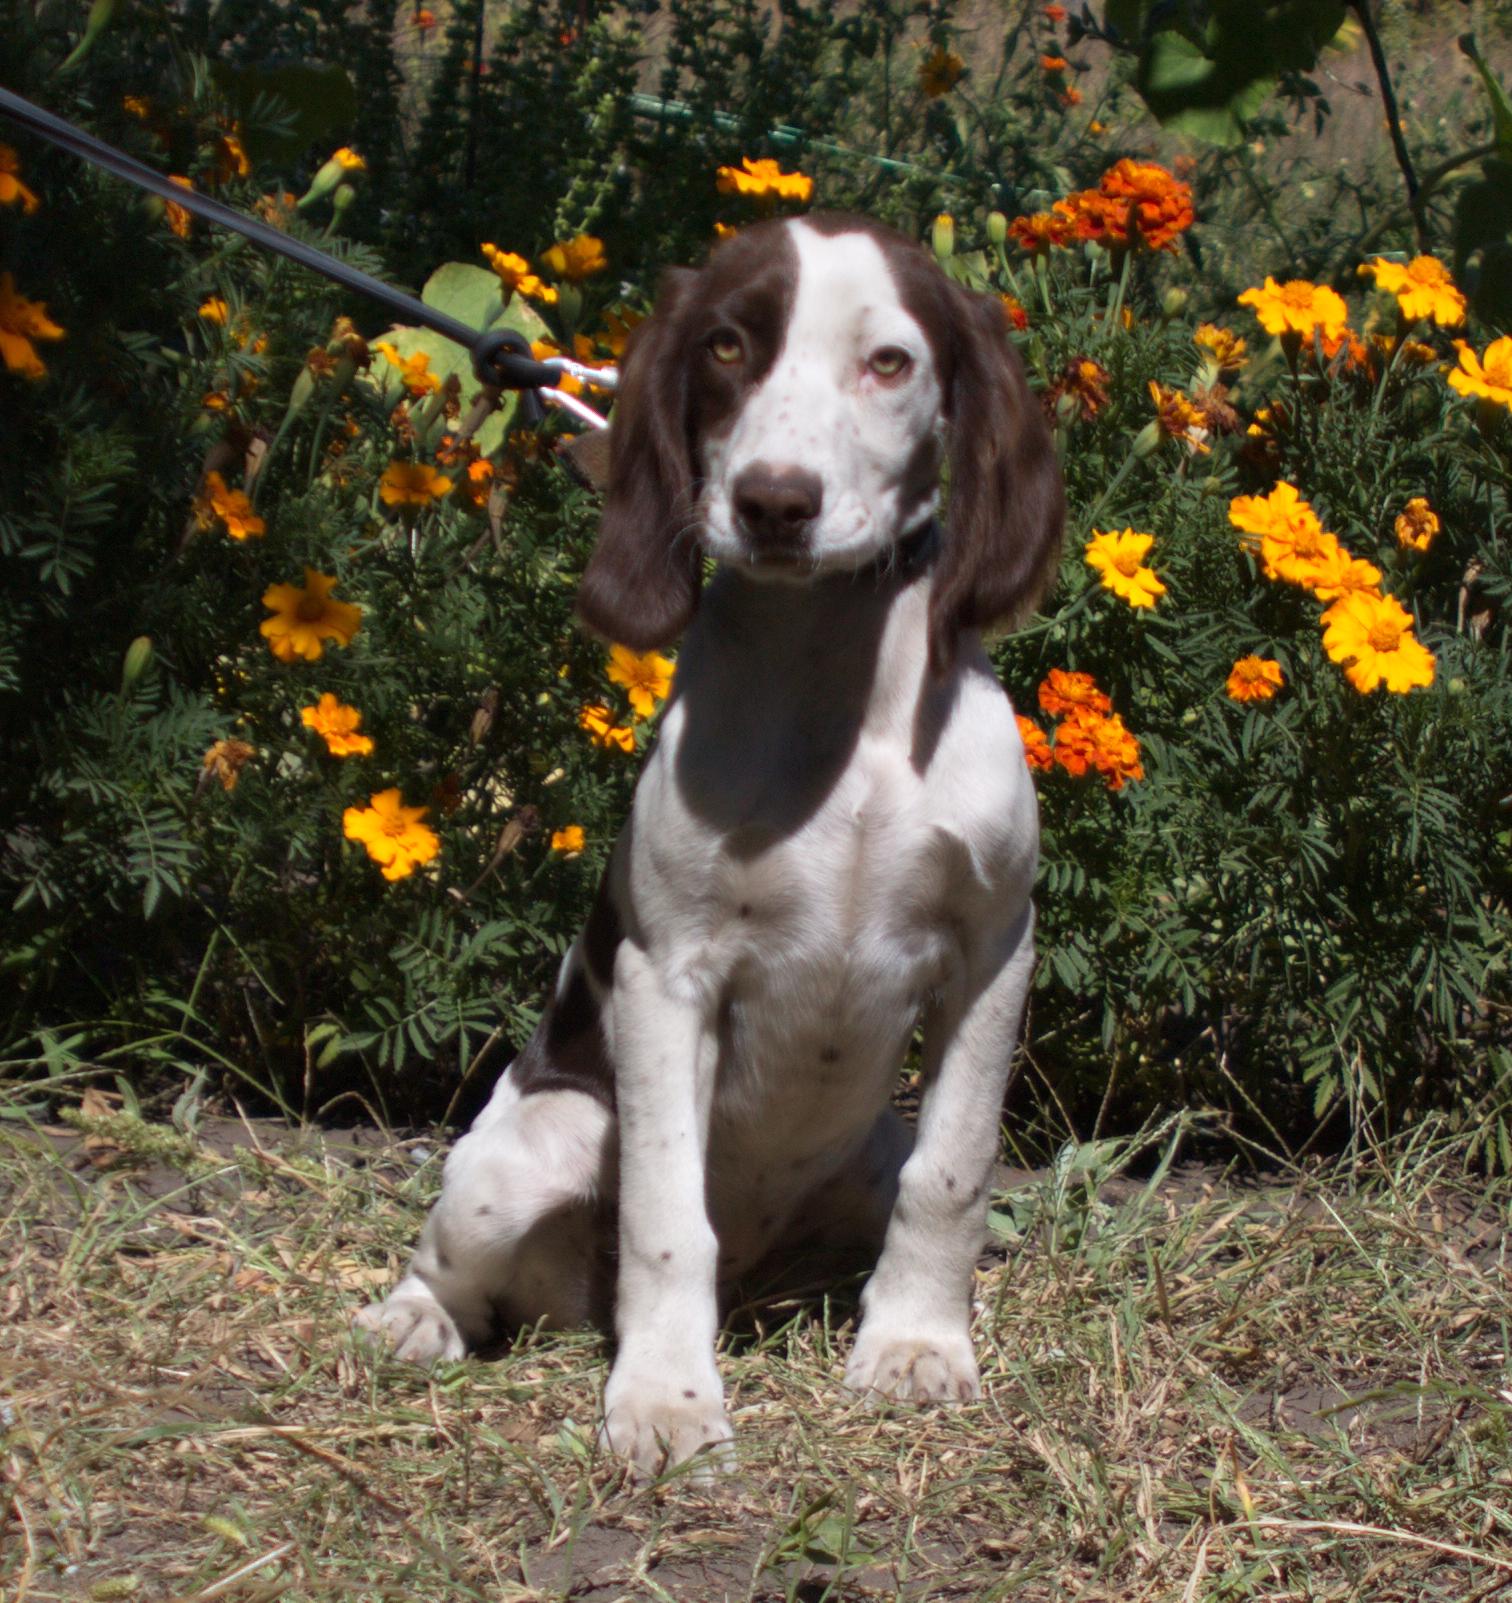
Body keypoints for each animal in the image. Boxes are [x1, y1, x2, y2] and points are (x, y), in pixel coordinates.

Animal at [354, 213, 1064, 1474]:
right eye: (728, 346)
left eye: (890, 362)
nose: (777, 502)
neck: (837, 694)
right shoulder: (664, 976)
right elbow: (665, 1218)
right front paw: (665, 1400)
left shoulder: (994, 949)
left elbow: (956, 1170)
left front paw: (916, 1343)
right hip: (537, 1141)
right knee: (464, 1263)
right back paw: (412, 1320)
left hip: (860, 1156)